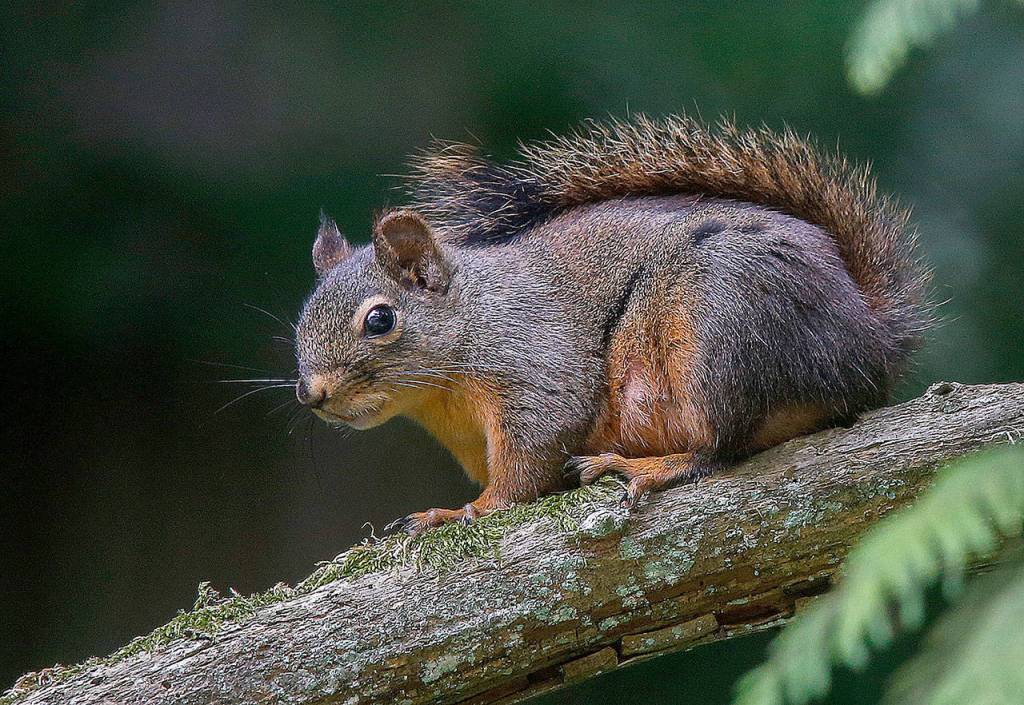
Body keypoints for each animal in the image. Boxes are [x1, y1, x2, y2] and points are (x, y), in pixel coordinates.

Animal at [293, 114, 930, 535]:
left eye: (380, 319)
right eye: (301, 320)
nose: (312, 395)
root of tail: (866, 340)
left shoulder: (534, 362)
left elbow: (529, 461)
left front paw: (465, 510)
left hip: (718, 335)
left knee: (718, 449)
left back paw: (638, 464)